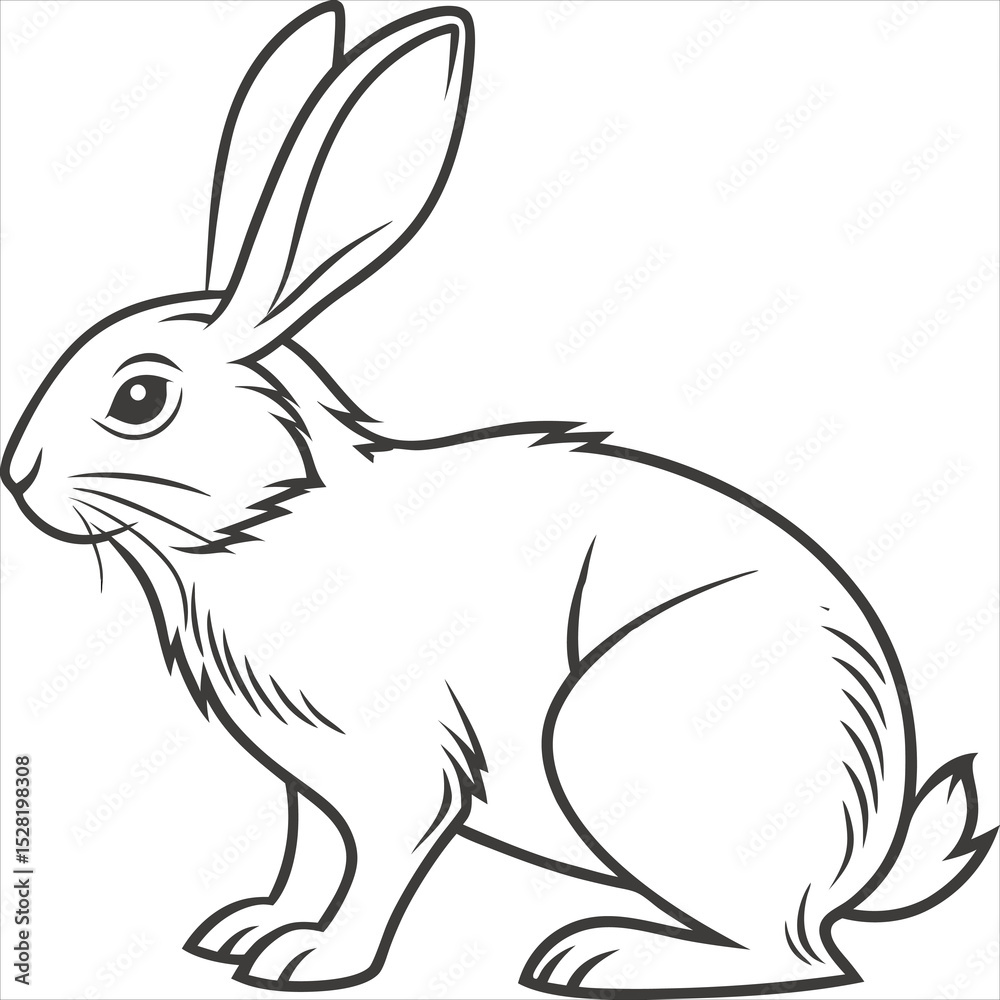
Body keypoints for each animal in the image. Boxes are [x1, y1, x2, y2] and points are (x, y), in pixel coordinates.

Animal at [2, 2, 995, 996]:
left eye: (141, 397)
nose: (16, 476)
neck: (271, 515)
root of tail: (859, 856)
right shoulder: (306, 781)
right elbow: (306, 854)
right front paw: (250, 931)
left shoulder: (407, 771)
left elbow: (376, 867)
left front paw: (313, 958)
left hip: (617, 743)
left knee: (799, 952)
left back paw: (597, 953)